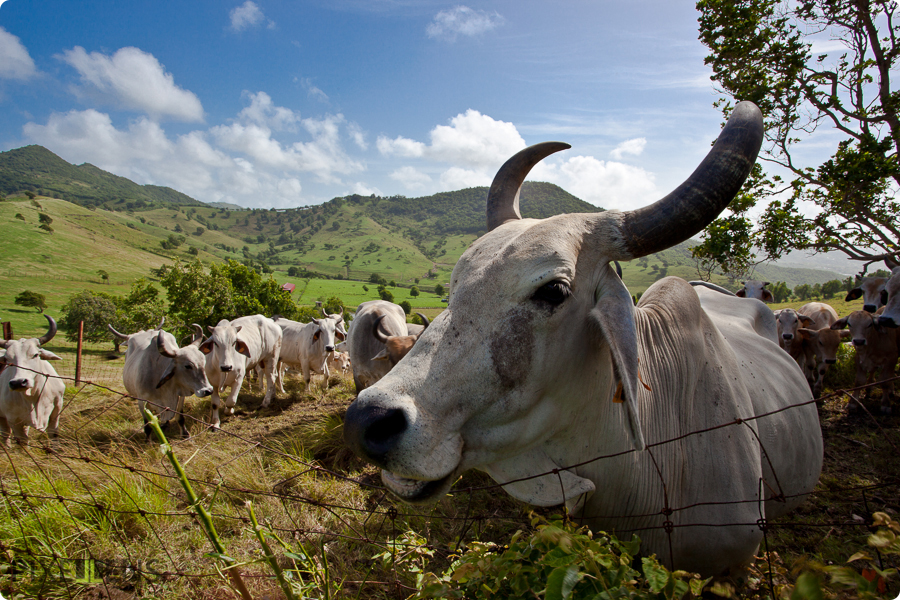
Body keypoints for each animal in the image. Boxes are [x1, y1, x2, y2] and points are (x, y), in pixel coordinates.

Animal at [0, 314, 65, 446]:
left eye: (35, 355)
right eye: (7, 359)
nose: (18, 382)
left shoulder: (56, 411)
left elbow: (54, 436)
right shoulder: (14, 421)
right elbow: (22, 443)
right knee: (5, 435)